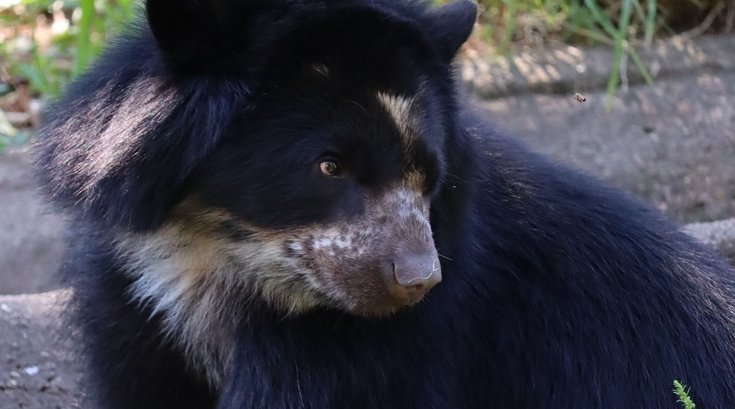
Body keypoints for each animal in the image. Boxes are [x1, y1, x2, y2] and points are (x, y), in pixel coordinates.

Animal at [33, 0, 735, 406]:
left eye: (428, 173)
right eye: (329, 166)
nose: (417, 280)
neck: (218, 266)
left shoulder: (381, 355)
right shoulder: (136, 305)